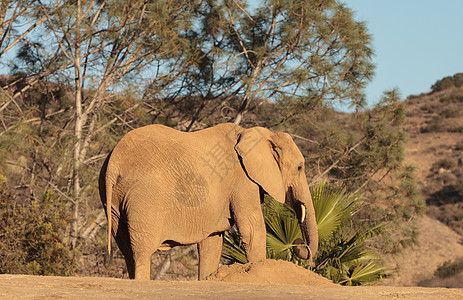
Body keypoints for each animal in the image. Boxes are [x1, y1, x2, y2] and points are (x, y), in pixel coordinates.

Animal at [99, 121, 320, 278]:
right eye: (299, 167)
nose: (298, 243)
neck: (257, 133)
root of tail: (114, 161)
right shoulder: (243, 179)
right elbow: (252, 229)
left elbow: (212, 241)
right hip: (145, 197)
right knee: (141, 251)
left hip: (114, 202)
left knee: (126, 249)